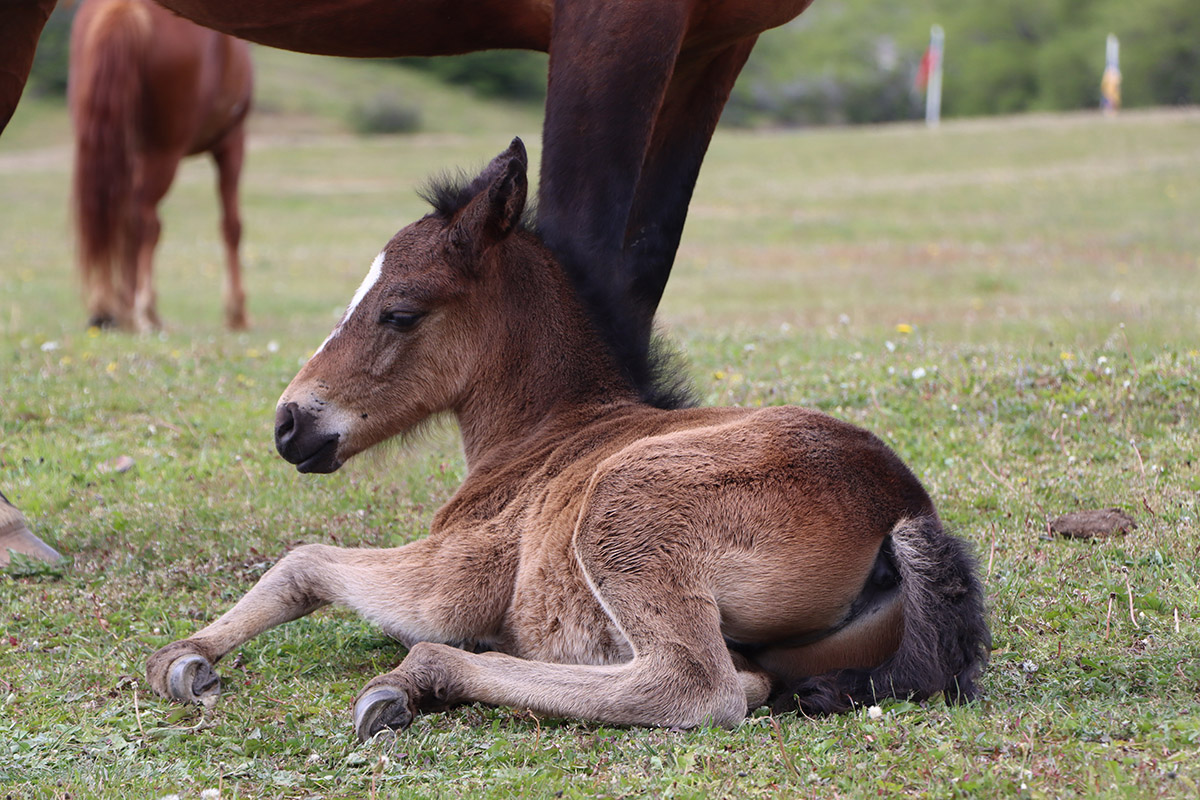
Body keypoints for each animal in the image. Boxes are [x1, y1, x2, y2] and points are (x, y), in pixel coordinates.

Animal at [68, 0, 253, 328]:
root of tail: (124, 8)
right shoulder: (232, 142)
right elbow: (232, 226)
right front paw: (236, 312)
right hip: (164, 154)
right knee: (141, 221)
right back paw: (139, 309)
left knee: (106, 214)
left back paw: (108, 306)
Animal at [147, 136, 993, 738]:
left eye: (399, 312)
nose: (291, 423)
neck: (546, 435)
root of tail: (901, 505)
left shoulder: (455, 579)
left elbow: (306, 562)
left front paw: (185, 660)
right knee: (753, 680)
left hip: (625, 510)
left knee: (700, 688)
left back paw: (416, 680)